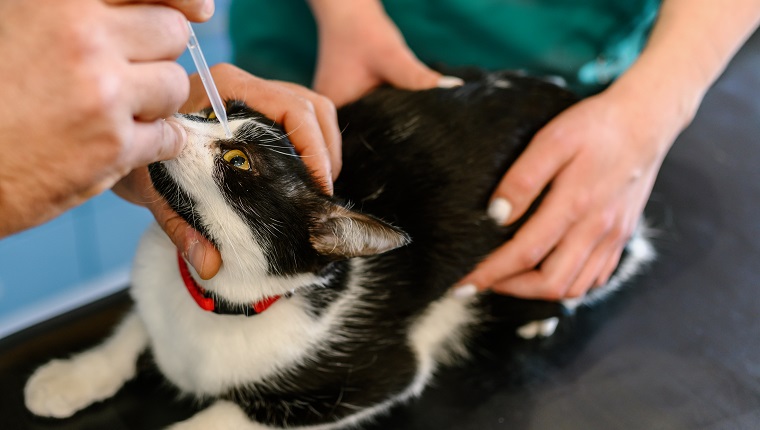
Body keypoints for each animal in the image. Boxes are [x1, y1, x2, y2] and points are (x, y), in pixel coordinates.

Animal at [25, 72, 652, 428]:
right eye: (204, 112)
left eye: (238, 160)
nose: (173, 114)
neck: (213, 299)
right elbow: (132, 330)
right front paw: (73, 377)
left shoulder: (376, 376)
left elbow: (222, 418)